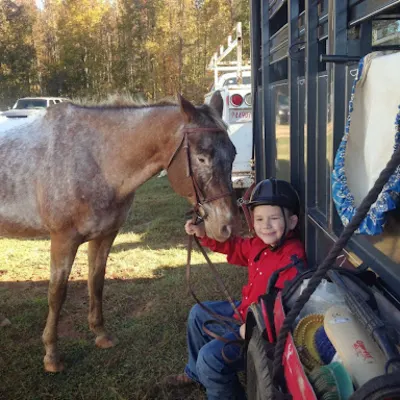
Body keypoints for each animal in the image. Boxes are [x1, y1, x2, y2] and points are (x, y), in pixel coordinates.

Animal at [0, 91, 238, 372]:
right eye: (201, 157)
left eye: (233, 154)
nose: (226, 225)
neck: (95, 160)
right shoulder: (63, 240)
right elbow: (57, 294)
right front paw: (51, 355)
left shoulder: (105, 235)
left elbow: (96, 282)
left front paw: (101, 335)